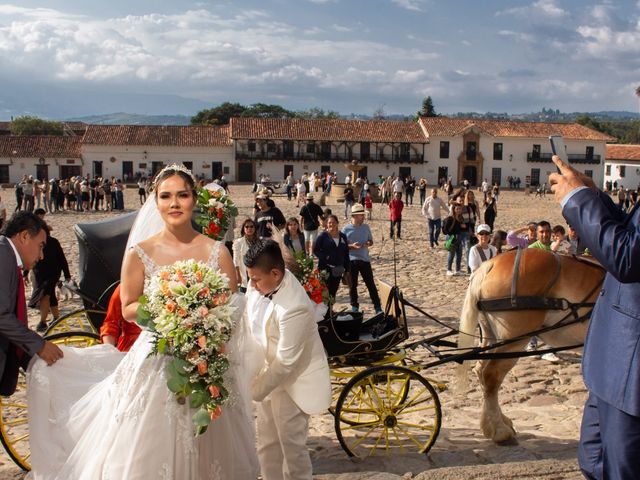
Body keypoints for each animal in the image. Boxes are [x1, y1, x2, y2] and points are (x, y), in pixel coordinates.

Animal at [456, 249, 604, 444]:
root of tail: (491, 263)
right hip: (514, 340)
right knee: (491, 375)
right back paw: (499, 430)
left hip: (491, 336)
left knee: (481, 370)